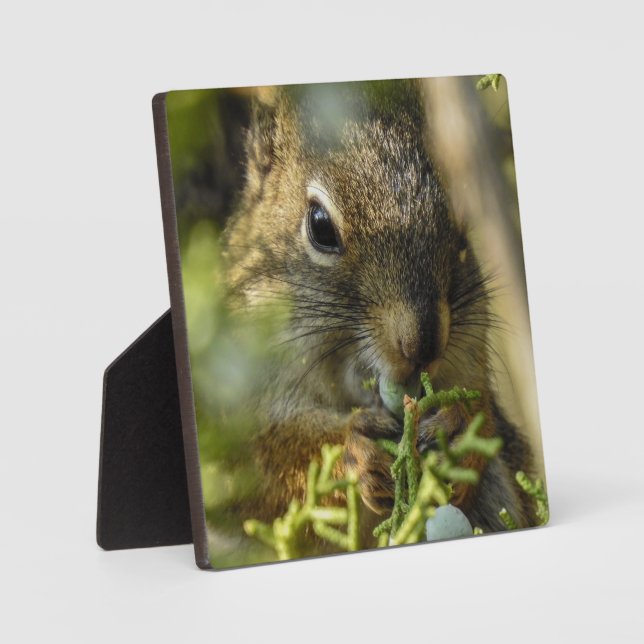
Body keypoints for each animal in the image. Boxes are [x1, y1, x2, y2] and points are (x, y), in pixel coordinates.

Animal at [222, 79, 535, 544]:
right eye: (319, 225)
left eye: (462, 227)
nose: (423, 344)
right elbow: (265, 463)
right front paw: (354, 451)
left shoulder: (471, 361)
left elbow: (484, 416)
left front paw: (457, 428)